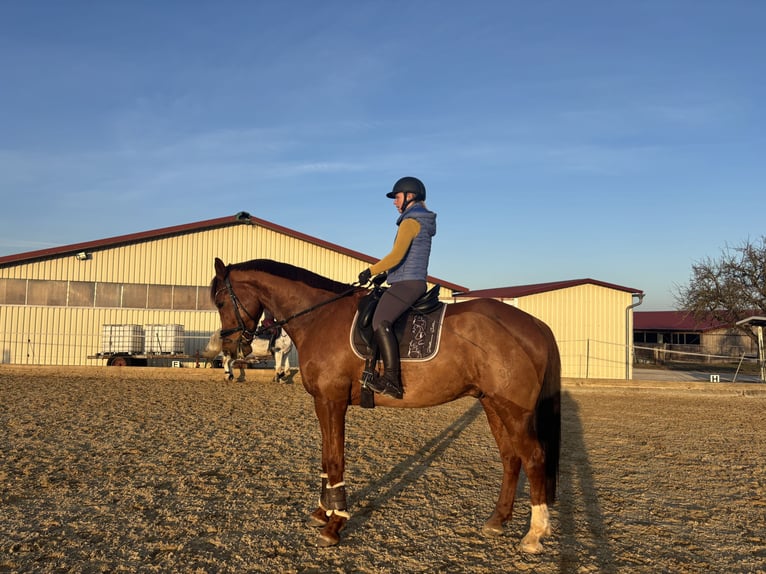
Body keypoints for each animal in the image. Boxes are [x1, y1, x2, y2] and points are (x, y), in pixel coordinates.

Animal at [213, 258, 560, 556]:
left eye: (219, 302)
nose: (229, 347)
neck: (320, 317)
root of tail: (534, 324)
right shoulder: (322, 403)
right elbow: (326, 457)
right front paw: (323, 512)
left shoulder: (332, 401)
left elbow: (335, 459)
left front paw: (334, 524)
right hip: (493, 404)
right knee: (511, 457)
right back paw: (497, 521)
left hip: (514, 410)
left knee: (533, 457)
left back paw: (534, 535)